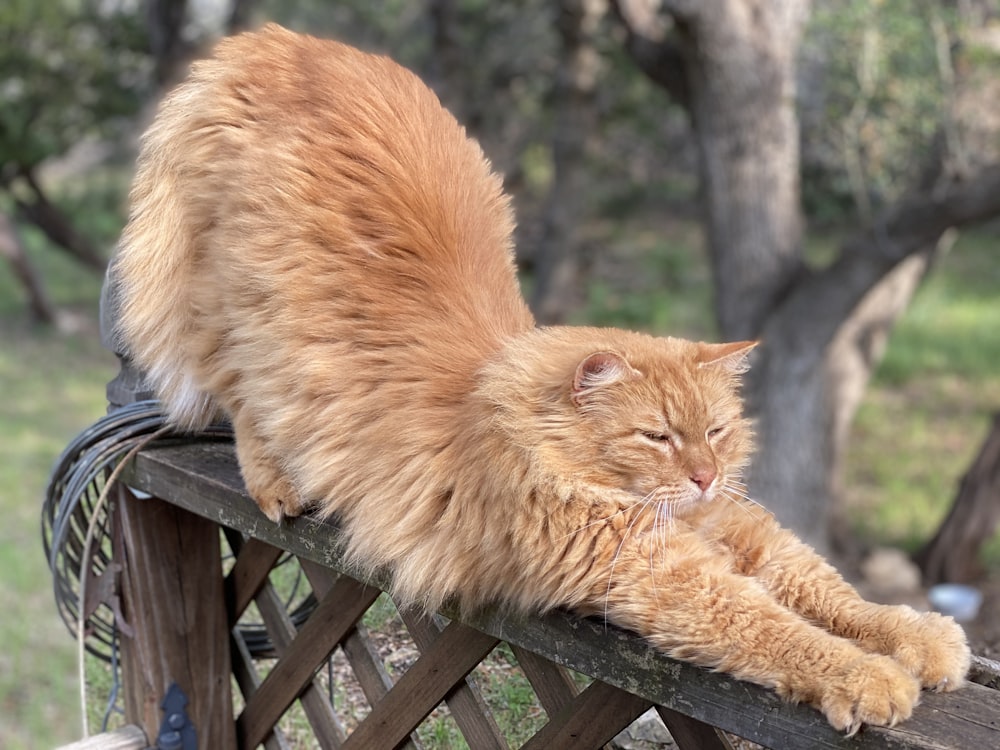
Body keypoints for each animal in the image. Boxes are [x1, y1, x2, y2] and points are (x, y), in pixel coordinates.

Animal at [111, 22, 968, 736]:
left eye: (715, 433)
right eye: (656, 437)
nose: (702, 476)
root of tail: (285, 41)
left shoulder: (733, 530)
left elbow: (832, 593)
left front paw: (918, 635)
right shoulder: (663, 573)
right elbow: (780, 631)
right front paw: (868, 678)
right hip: (236, 316)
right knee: (241, 402)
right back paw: (279, 486)